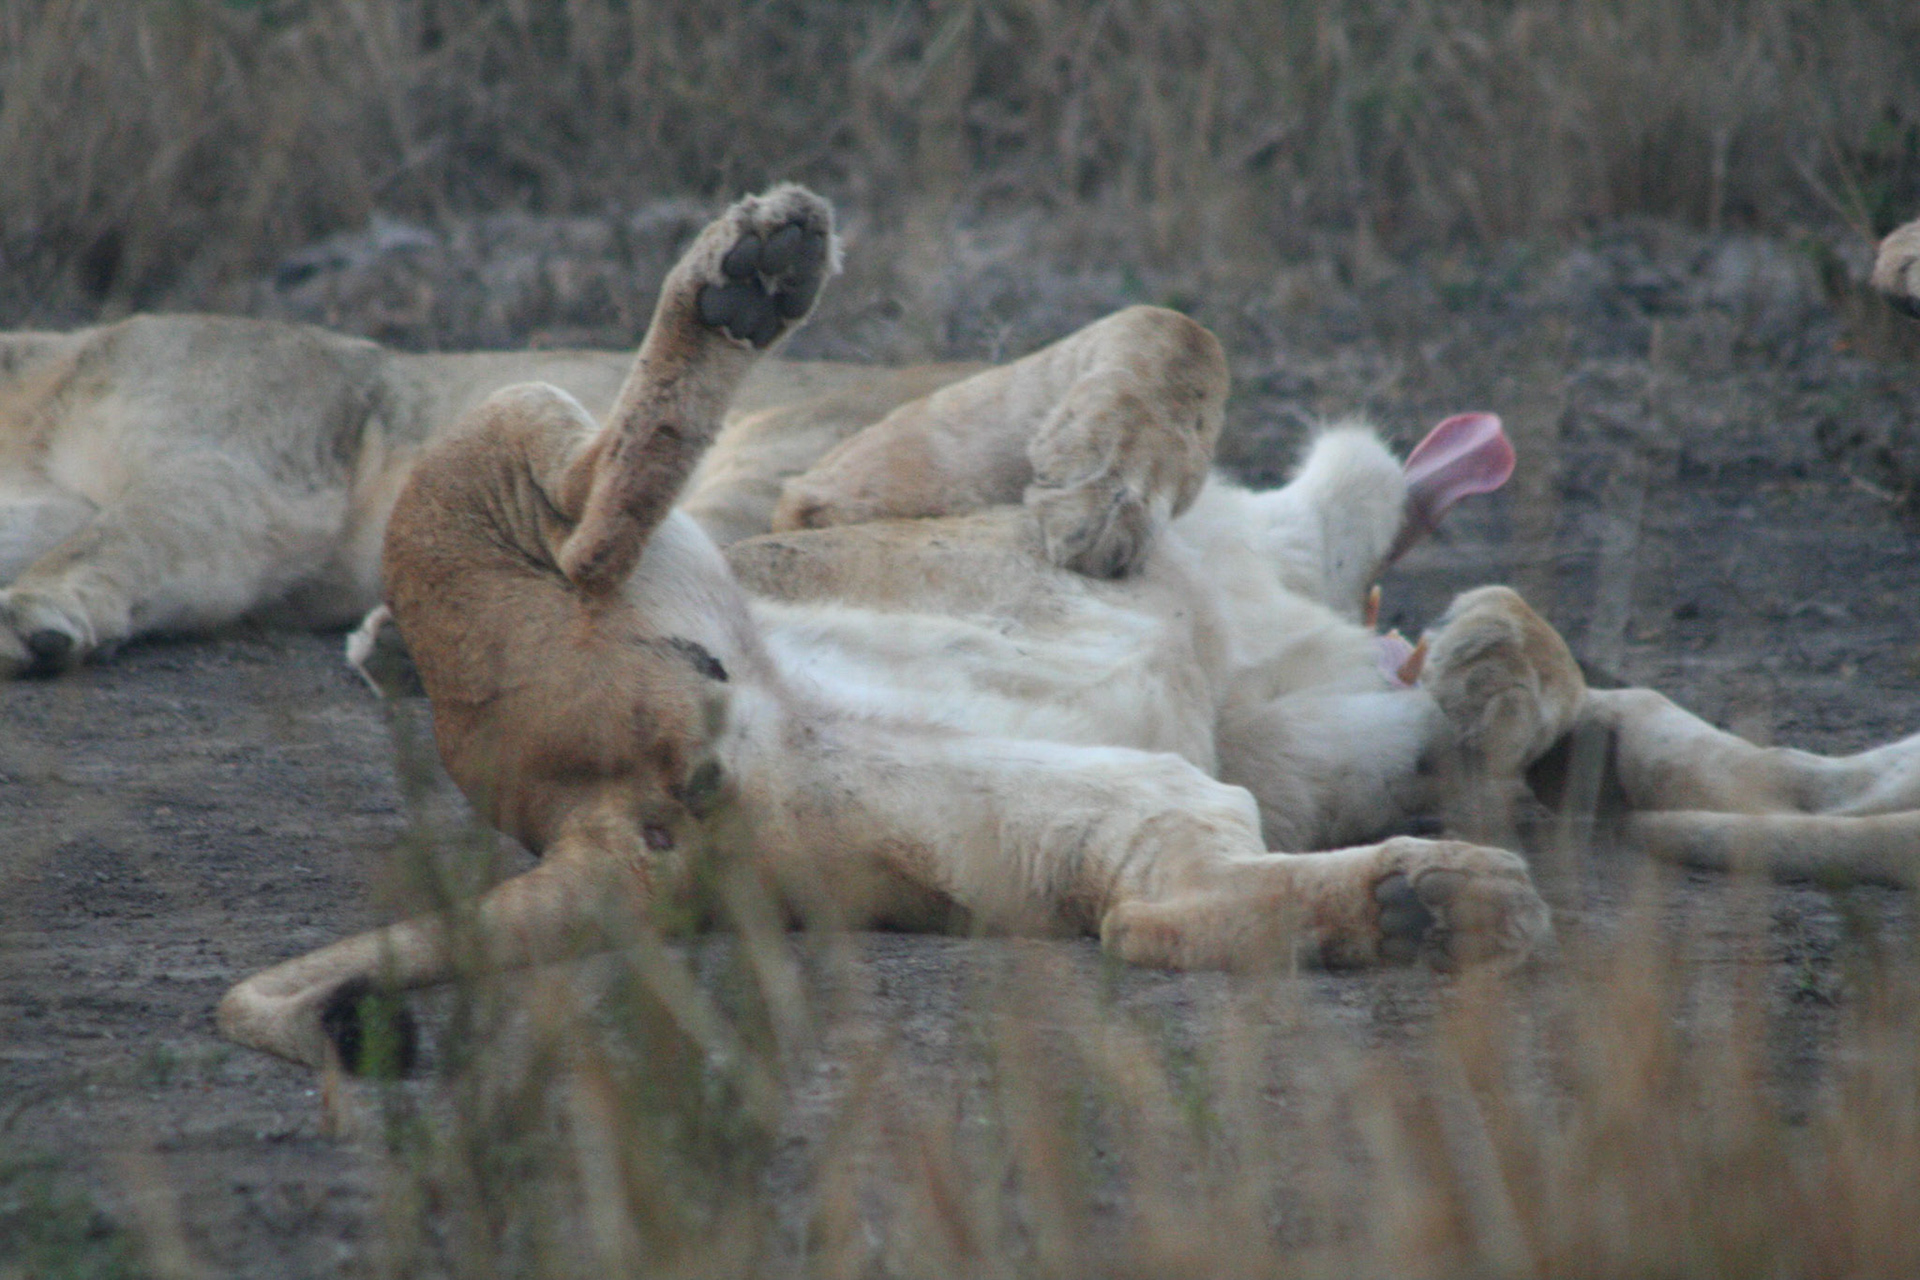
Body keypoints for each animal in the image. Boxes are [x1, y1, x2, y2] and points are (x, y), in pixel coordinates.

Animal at [211, 187, 1920, 1072]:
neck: (1283, 576)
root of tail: (586, 810)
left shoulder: (1283, 746)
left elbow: (1524, 671)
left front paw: (1495, 682)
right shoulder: (847, 492)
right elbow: (1168, 328)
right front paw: (1103, 501)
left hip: (1069, 806)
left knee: (1151, 916)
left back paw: (1432, 904)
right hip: (520, 456)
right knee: (587, 506)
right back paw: (749, 270)